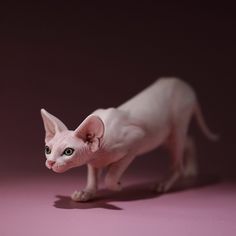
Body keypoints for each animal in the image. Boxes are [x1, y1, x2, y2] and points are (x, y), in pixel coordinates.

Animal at [40, 77, 218, 201]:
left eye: (68, 152)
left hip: (177, 123)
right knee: (189, 141)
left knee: (178, 159)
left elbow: (111, 176)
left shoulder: (135, 142)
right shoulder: (92, 160)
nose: (50, 163)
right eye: (47, 149)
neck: (101, 149)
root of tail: (184, 85)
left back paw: (164, 183)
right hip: (164, 135)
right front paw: (86, 193)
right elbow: (93, 176)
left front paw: (118, 185)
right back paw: (191, 171)